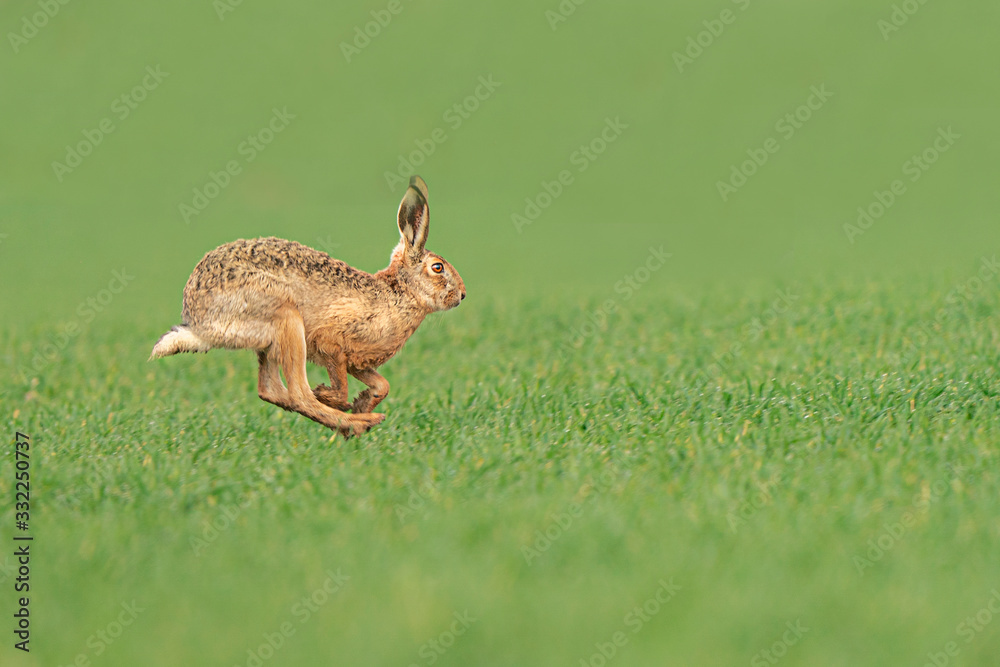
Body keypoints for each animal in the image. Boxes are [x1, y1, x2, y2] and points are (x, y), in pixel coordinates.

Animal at [150, 176, 465, 438]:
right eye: (438, 268)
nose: (462, 295)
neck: (398, 293)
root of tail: (198, 323)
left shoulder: (357, 360)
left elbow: (381, 384)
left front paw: (361, 403)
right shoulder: (331, 343)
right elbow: (340, 385)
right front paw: (333, 397)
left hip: (270, 342)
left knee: (271, 390)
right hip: (287, 319)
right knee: (297, 393)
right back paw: (358, 424)